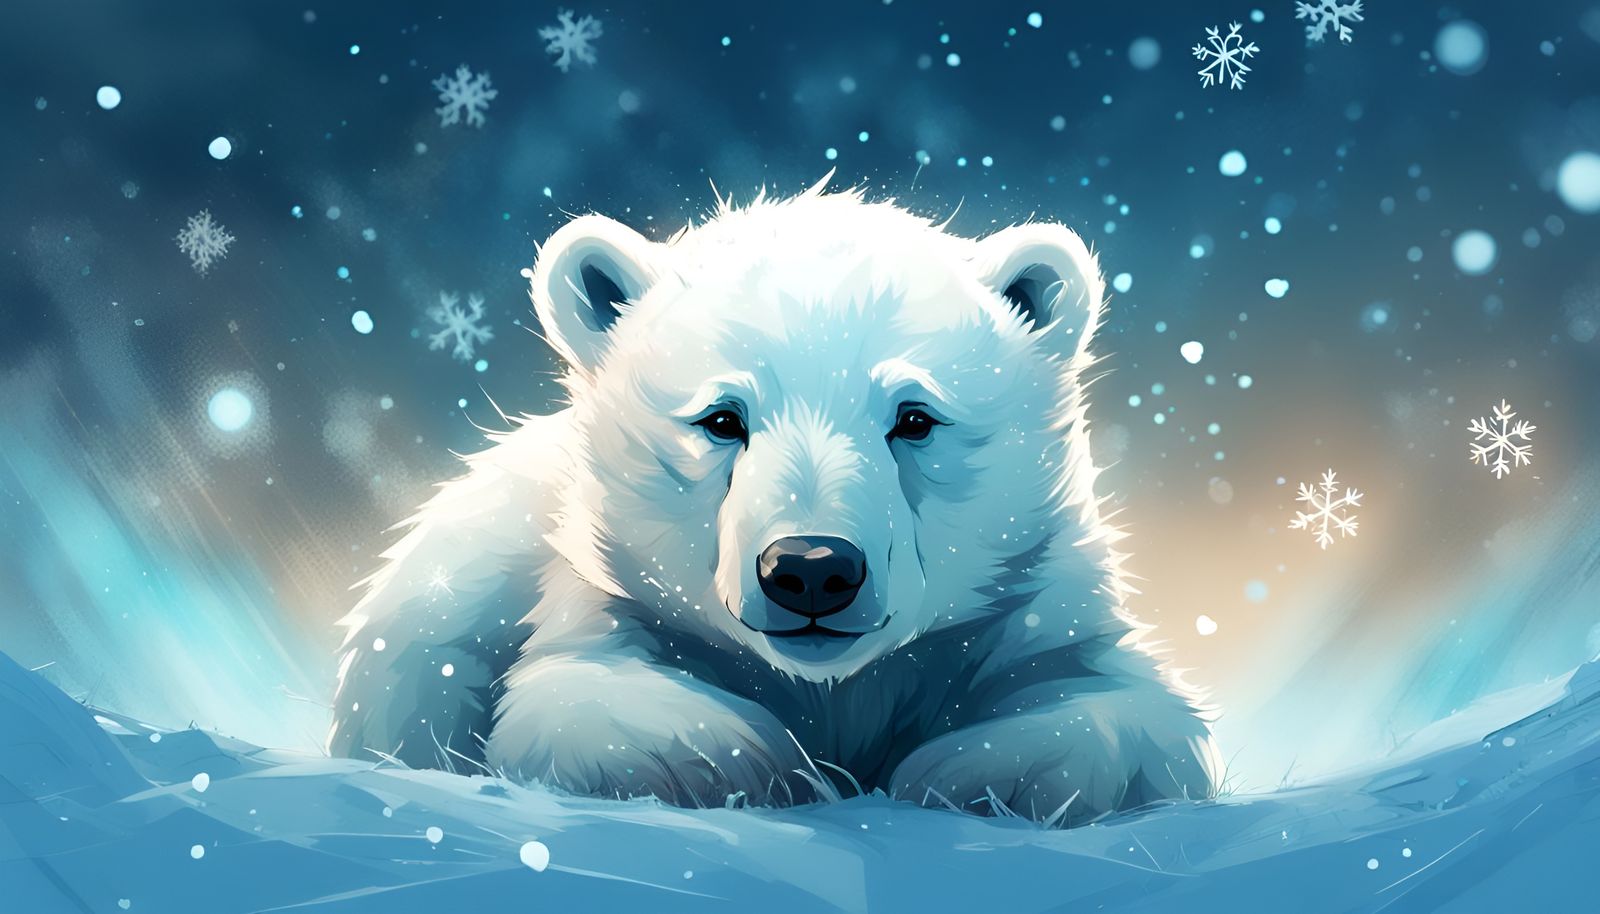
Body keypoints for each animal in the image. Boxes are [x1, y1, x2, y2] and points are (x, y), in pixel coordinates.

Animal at [326, 179, 1220, 824]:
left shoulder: (1029, 601)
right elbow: (574, 699)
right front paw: (753, 763)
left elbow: (1131, 713)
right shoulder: (611, 596)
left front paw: (959, 772)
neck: (832, 684)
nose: (813, 569)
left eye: (915, 417)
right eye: (722, 419)